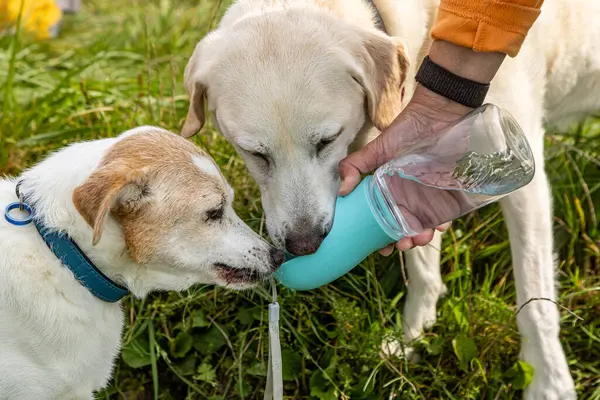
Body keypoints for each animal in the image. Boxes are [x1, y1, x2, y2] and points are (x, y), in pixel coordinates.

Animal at [180, 0, 600, 396]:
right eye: (255, 153)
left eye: (327, 140)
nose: (304, 245)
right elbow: (422, 263)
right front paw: (413, 333)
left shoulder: (524, 187)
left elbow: (534, 294)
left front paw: (548, 380)